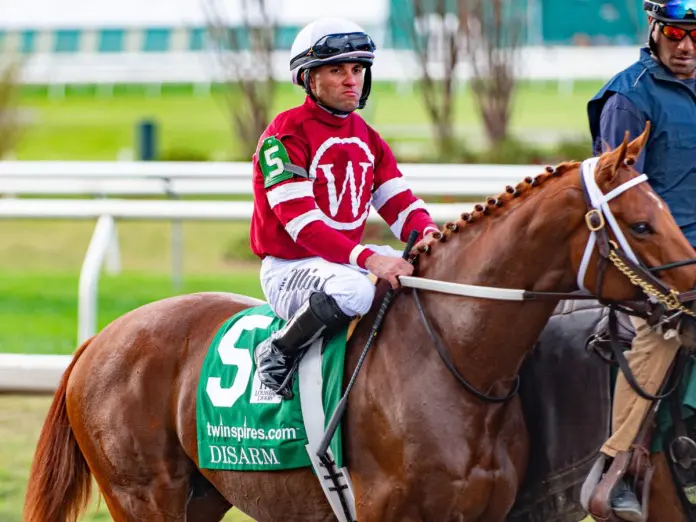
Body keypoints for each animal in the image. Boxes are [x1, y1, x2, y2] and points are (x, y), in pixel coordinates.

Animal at [25, 127, 696, 520]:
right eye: (641, 225)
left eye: (665, 209)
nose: (693, 302)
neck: (450, 363)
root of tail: (100, 338)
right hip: (143, 495)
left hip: (201, 497)